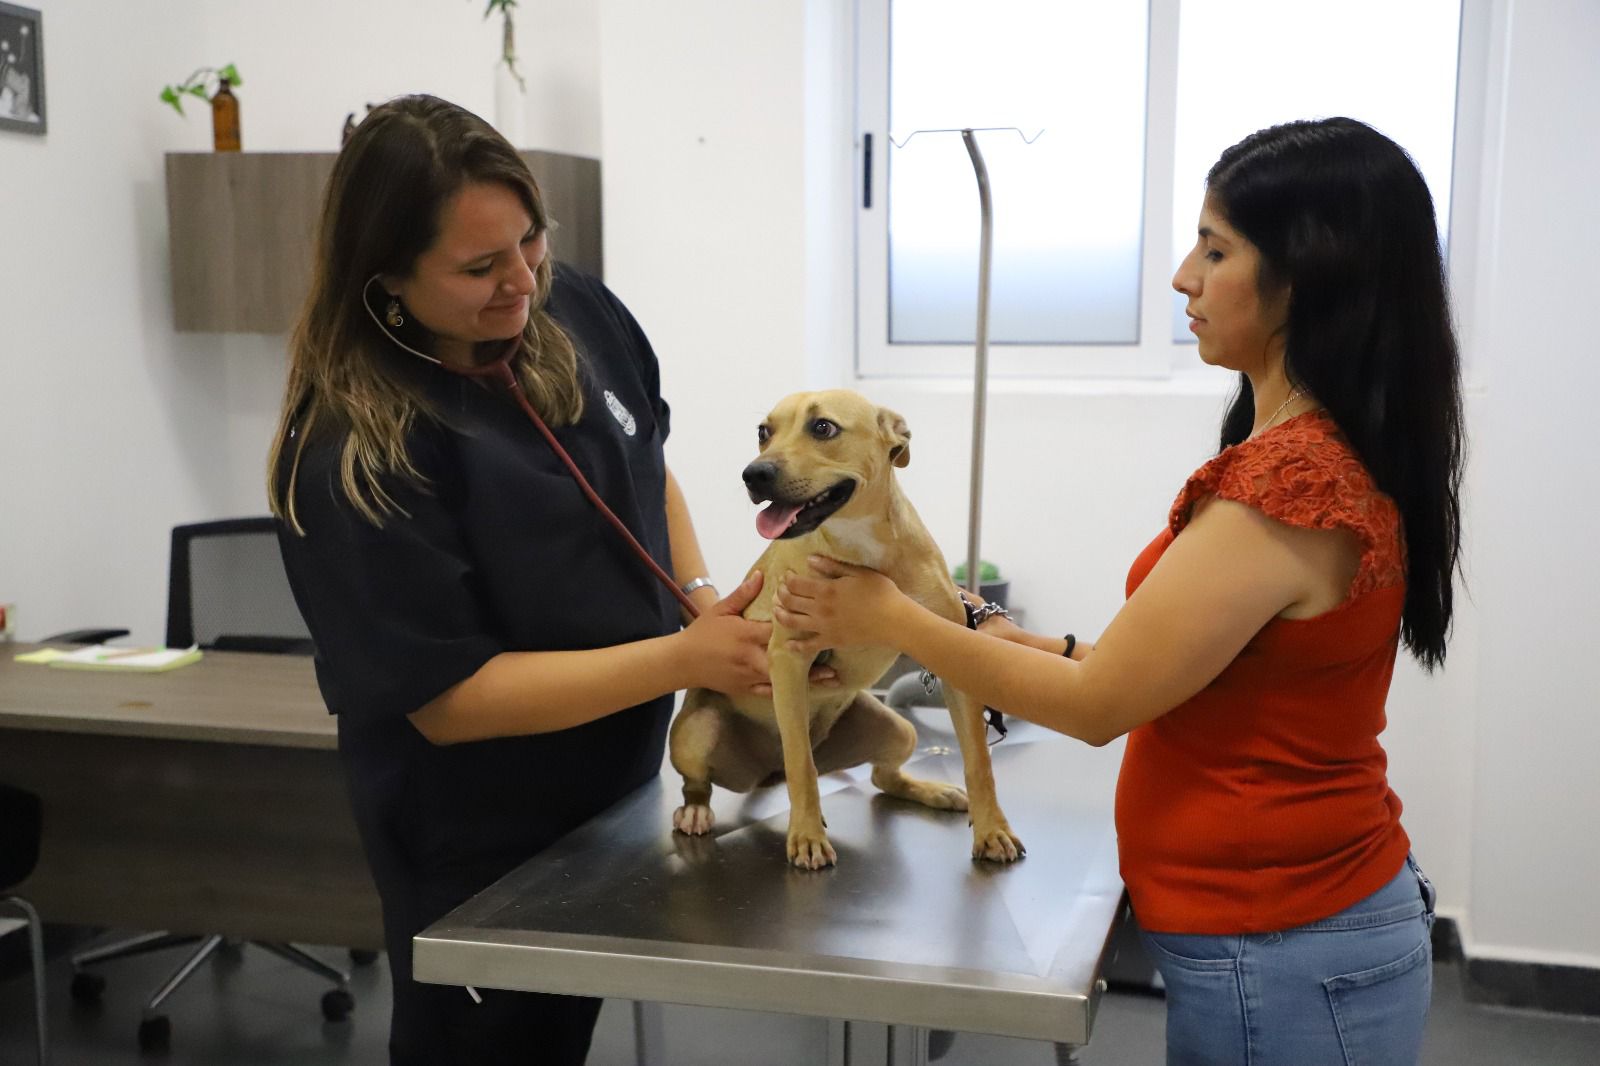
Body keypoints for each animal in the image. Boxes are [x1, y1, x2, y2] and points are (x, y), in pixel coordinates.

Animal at [672, 385, 1024, 870]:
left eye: (823, 427)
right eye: (763, 431)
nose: (753, 474)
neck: (859, 544)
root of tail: (766, 773)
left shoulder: (954, 656)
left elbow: (978, 762)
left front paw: (992, 829)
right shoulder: (788, 661)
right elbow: (801, 765)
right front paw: (806, 835)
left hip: (899, 729)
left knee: (882, 778)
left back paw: (930, 790)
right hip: (697, 732)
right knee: (712, 780)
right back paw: (695, 811)